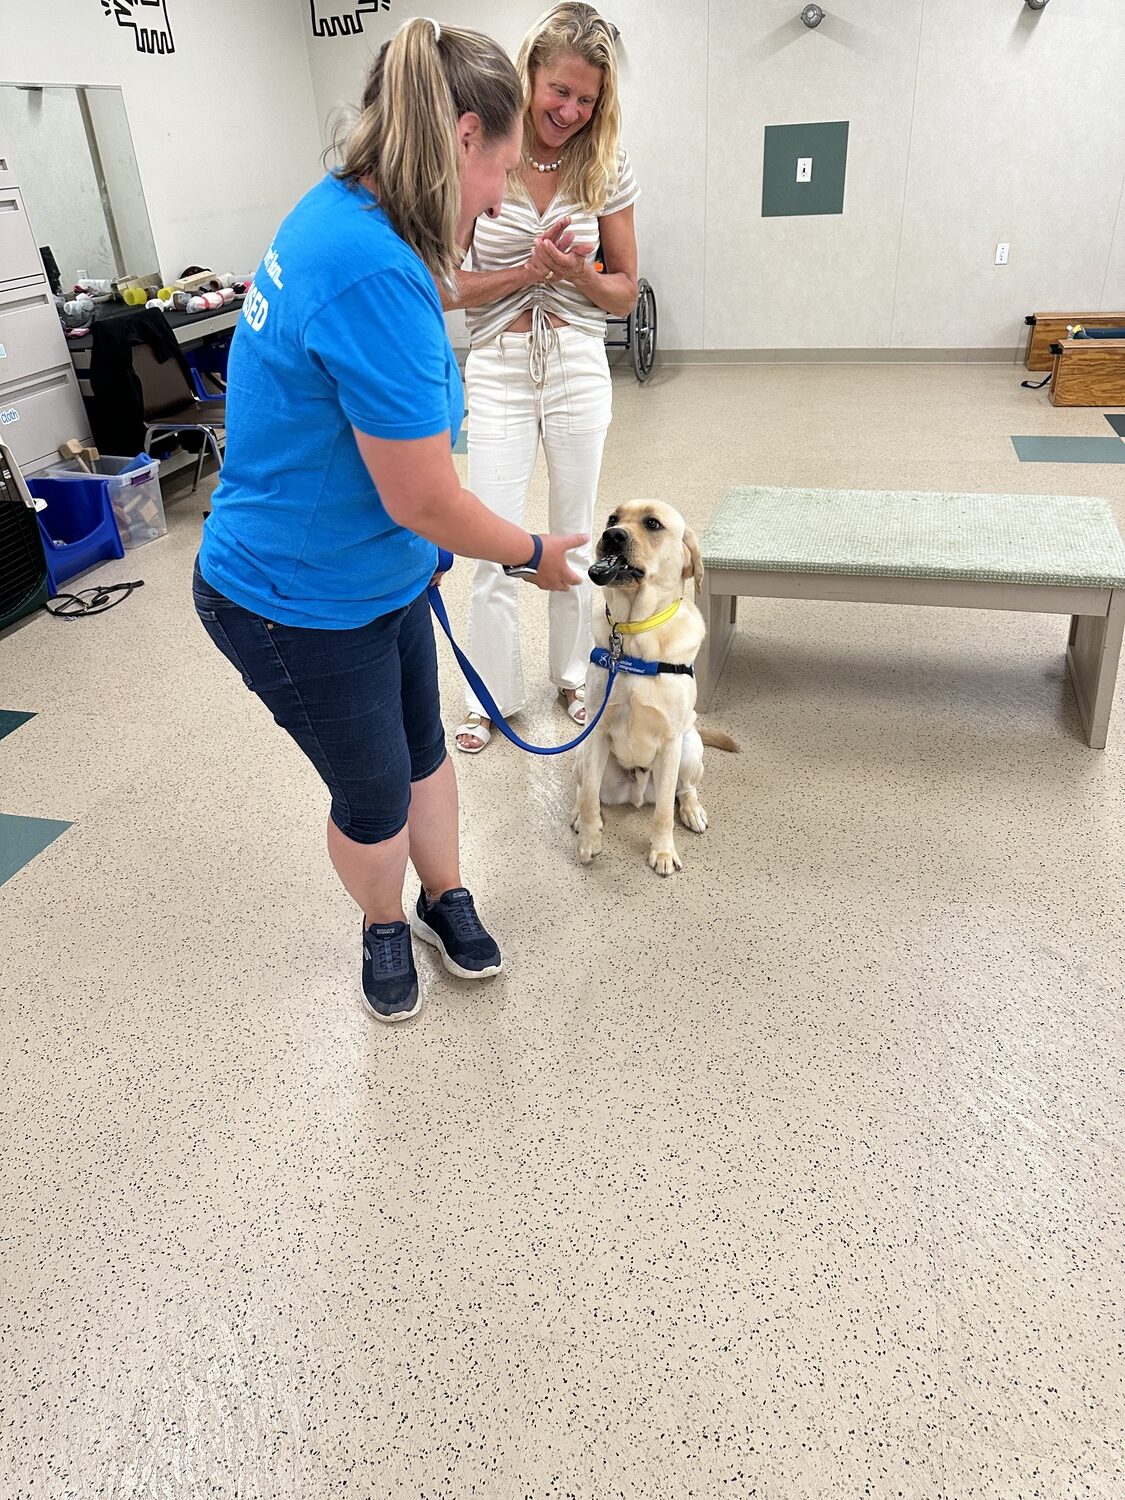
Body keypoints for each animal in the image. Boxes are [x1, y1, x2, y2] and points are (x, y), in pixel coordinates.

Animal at [573, 504, 741, 876]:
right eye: (612, 518)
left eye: (652, 524)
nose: (611, 535)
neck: (634, 633)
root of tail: (636, 792)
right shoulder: (597, 731)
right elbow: (589, 797)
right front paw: (590, 839)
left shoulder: (670, 741)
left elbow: (664, 810)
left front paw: (662, 852)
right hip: (582, 751)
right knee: (585, 787)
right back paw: (578, 815)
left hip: (689, 748)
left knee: (685, 789)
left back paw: (692, 810)